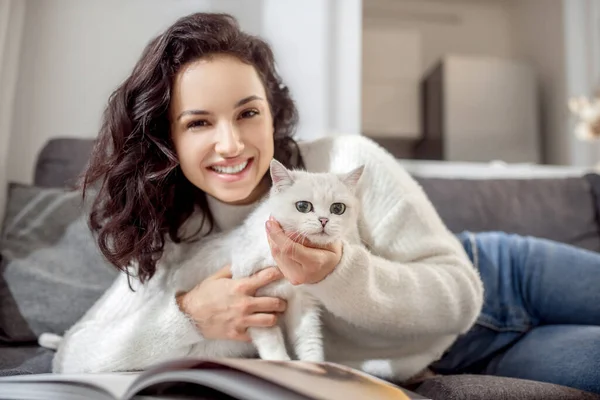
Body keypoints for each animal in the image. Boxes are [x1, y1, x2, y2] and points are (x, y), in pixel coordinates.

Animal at [171, 159, 364, 362]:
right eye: (303, 206)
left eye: (338, 208)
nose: (324, 220)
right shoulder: (254, 304)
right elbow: (271, 343)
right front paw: (281, 362)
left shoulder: (303, 302)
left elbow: (308, 339)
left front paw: (314, 364)